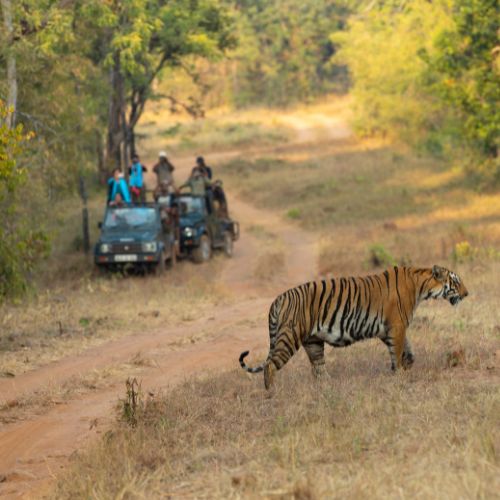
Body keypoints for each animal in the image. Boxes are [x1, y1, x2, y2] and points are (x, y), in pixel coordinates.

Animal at [240, 266, 466, 390]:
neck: (421, 284)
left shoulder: (388, 330)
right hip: (290, 336)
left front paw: (406, 365)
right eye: (456, 281)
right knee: (270, 365)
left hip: (313, 342)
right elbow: (398, 351)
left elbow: (407, 351)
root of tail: (278, 299)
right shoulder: (397, 326)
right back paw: (271, 393)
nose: (467, 293)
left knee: (318, 370)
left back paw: (329, 387)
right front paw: (400, 374)